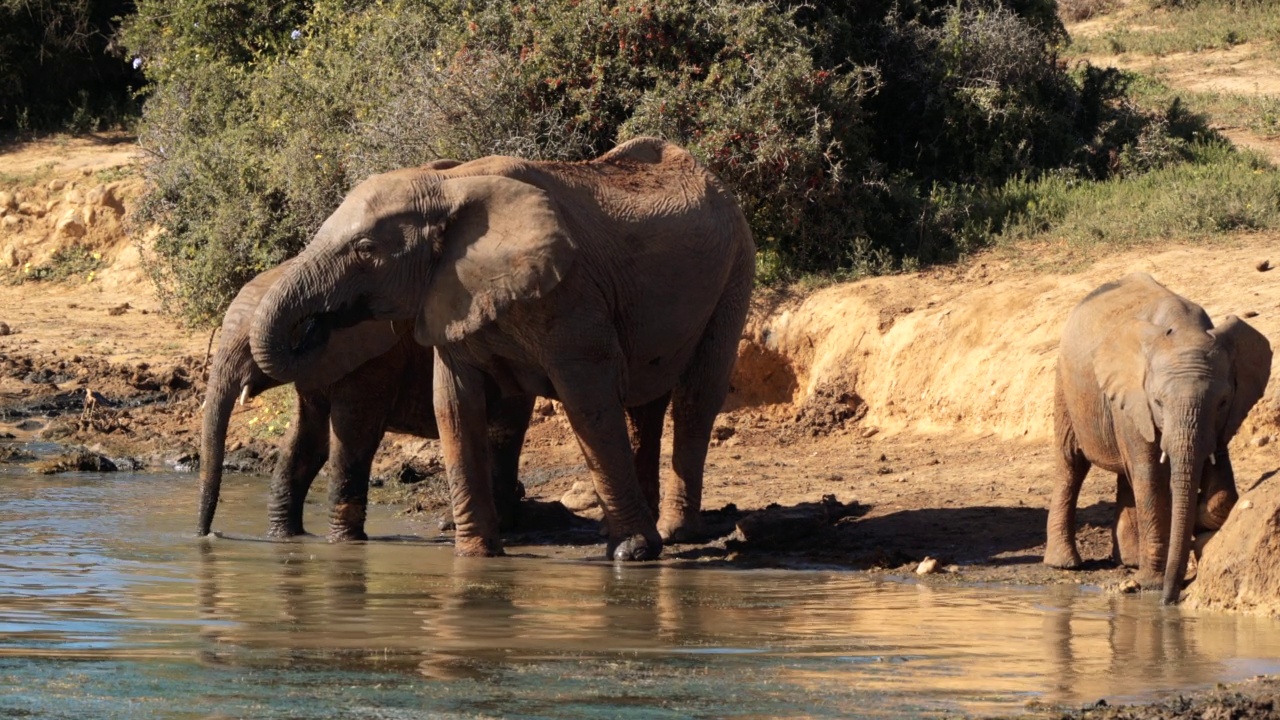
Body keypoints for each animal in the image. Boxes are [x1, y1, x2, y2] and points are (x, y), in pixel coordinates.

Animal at [193, 257, 529, 538]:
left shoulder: (376, 360)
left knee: (500, 434)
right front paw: (284, 537)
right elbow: (305, 438)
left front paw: (344, 542)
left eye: (247, 346)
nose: (210, 535)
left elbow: (352, 435)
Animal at [244, 135, 752, 561]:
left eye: (366, 249)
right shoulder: (450, 295)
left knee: (695, 398)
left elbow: (589, 404)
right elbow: (454, 405)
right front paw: (475, 557)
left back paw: (671, 534)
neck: (447, 186)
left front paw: (632, 553)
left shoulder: (572, 296)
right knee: (644, 408)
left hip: (735, 268)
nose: (318, 324)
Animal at [1039, 271, 1269, 602]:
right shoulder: (1134, 395)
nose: (1169, 600)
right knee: (1072, 463)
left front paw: (1200, 516)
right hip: (1066, 386)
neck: (1184, 327)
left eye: (1223, 401)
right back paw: (1065, 564)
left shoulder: (1223, 420)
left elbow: (1222, 489)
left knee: (1125, 474)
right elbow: (1151, 478)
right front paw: (1152, 584)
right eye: (1158, 402)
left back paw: (1130, 560)